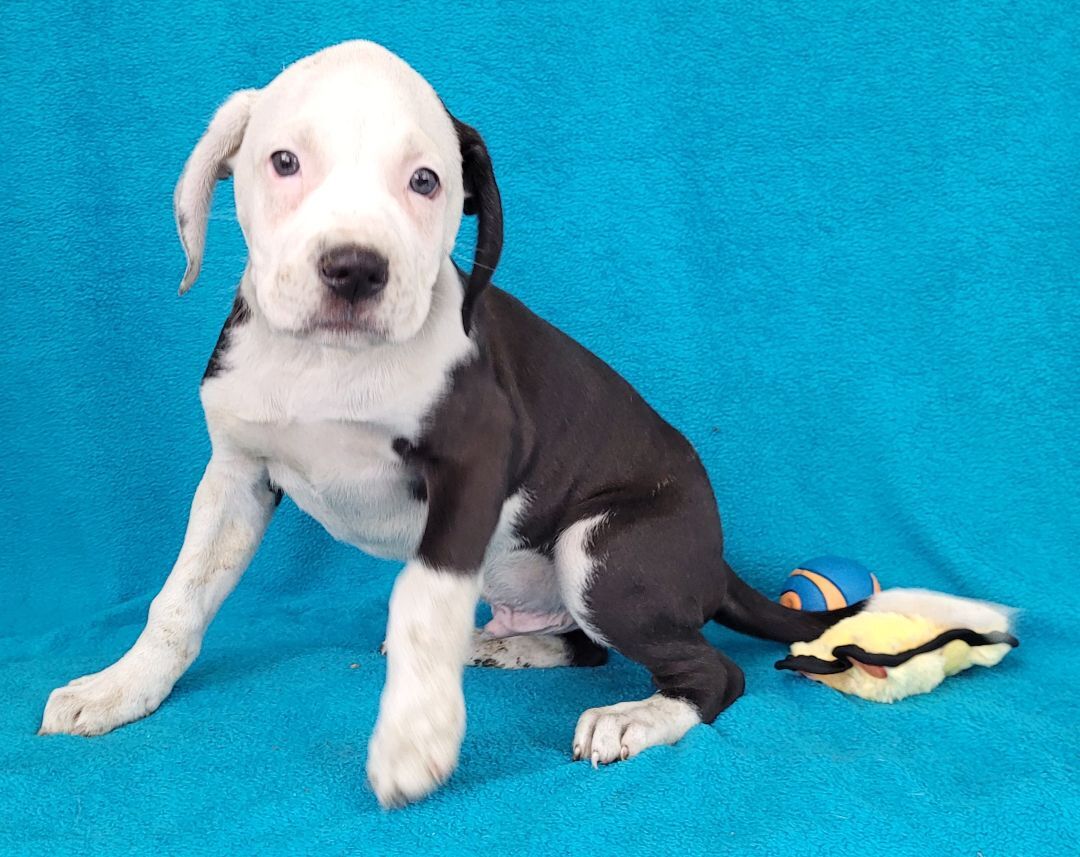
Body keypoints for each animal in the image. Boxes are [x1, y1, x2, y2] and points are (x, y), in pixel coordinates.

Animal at [39, 38, 859, 803]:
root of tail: (715, 559)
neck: (329, 363)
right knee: (587, 646)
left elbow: (424, 603)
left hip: (603, 552)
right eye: (284, 162)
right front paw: (120, 687)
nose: (355, 268)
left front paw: (414, 740)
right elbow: (178, 598)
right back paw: (505, 649)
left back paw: (633, 717)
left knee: (712, 672)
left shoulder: (474, 464)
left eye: (425, 181)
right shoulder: (236, 475)